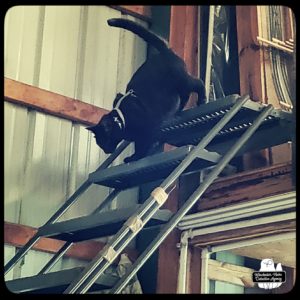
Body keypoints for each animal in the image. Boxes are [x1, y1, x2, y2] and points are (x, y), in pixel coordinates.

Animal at [86, 17, 206, 163]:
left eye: (104, 141)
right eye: (100, 143)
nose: (106, 151)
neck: (122, 117)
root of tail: (165, 51)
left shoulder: (147, 129)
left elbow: (142, 146)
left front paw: (135, 157)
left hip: (182, 81)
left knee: (198, 83)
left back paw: (202, 100)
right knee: (184, 97)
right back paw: (178, 111)